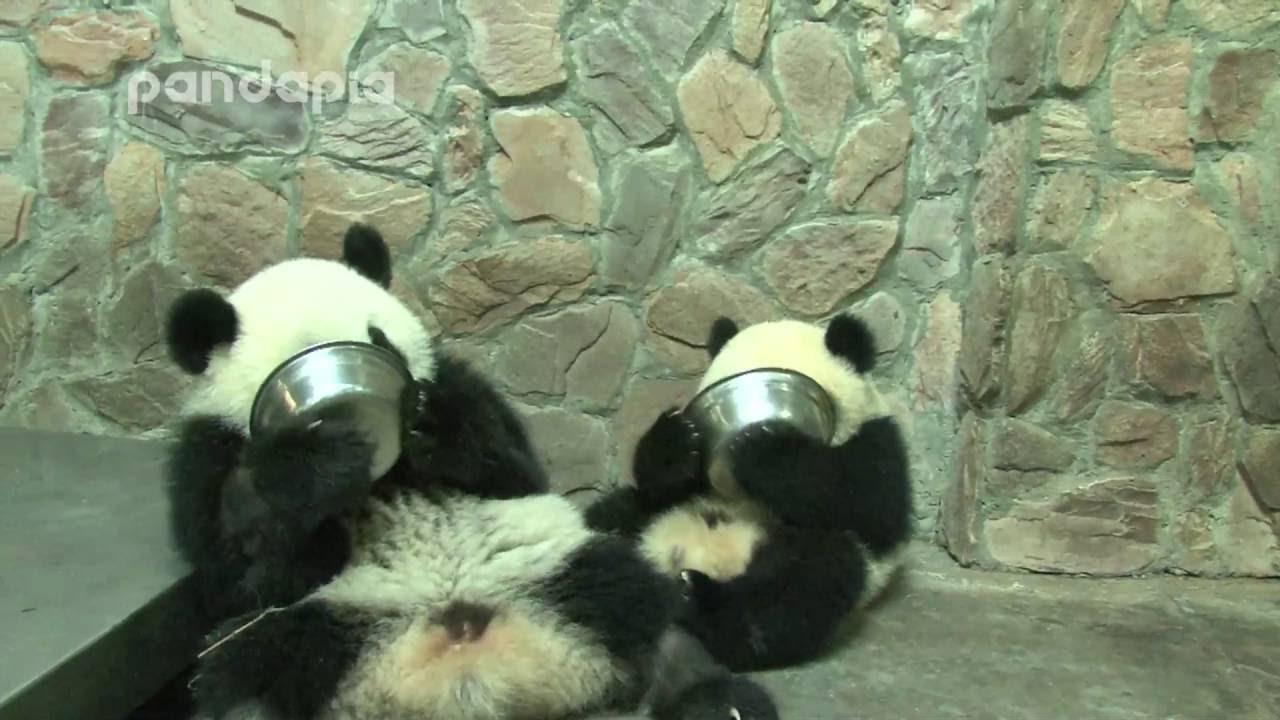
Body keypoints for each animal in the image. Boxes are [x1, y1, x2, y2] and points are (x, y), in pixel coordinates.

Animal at [163, 225, 773, 717]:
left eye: (378, 338)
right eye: (298, 362)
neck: (387, 474)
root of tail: (468, 672)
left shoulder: (451, 378)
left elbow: (513, 471)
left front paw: (432, 426)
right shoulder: (210, 449)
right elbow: (241, 578)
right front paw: (317, 464)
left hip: (560, 573)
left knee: (644, 605)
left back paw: (712, 700)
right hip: (326, 632)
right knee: (243, 668)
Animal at [586, 316, 916, 671]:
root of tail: (680, 555)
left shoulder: (876, 441)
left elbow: (869, 505)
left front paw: (766, 450)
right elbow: (664, 484)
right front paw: (673, 442)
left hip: (815, 560)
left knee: (804, 583)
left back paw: (702, 600)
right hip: (647, 518)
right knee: (616, 512)